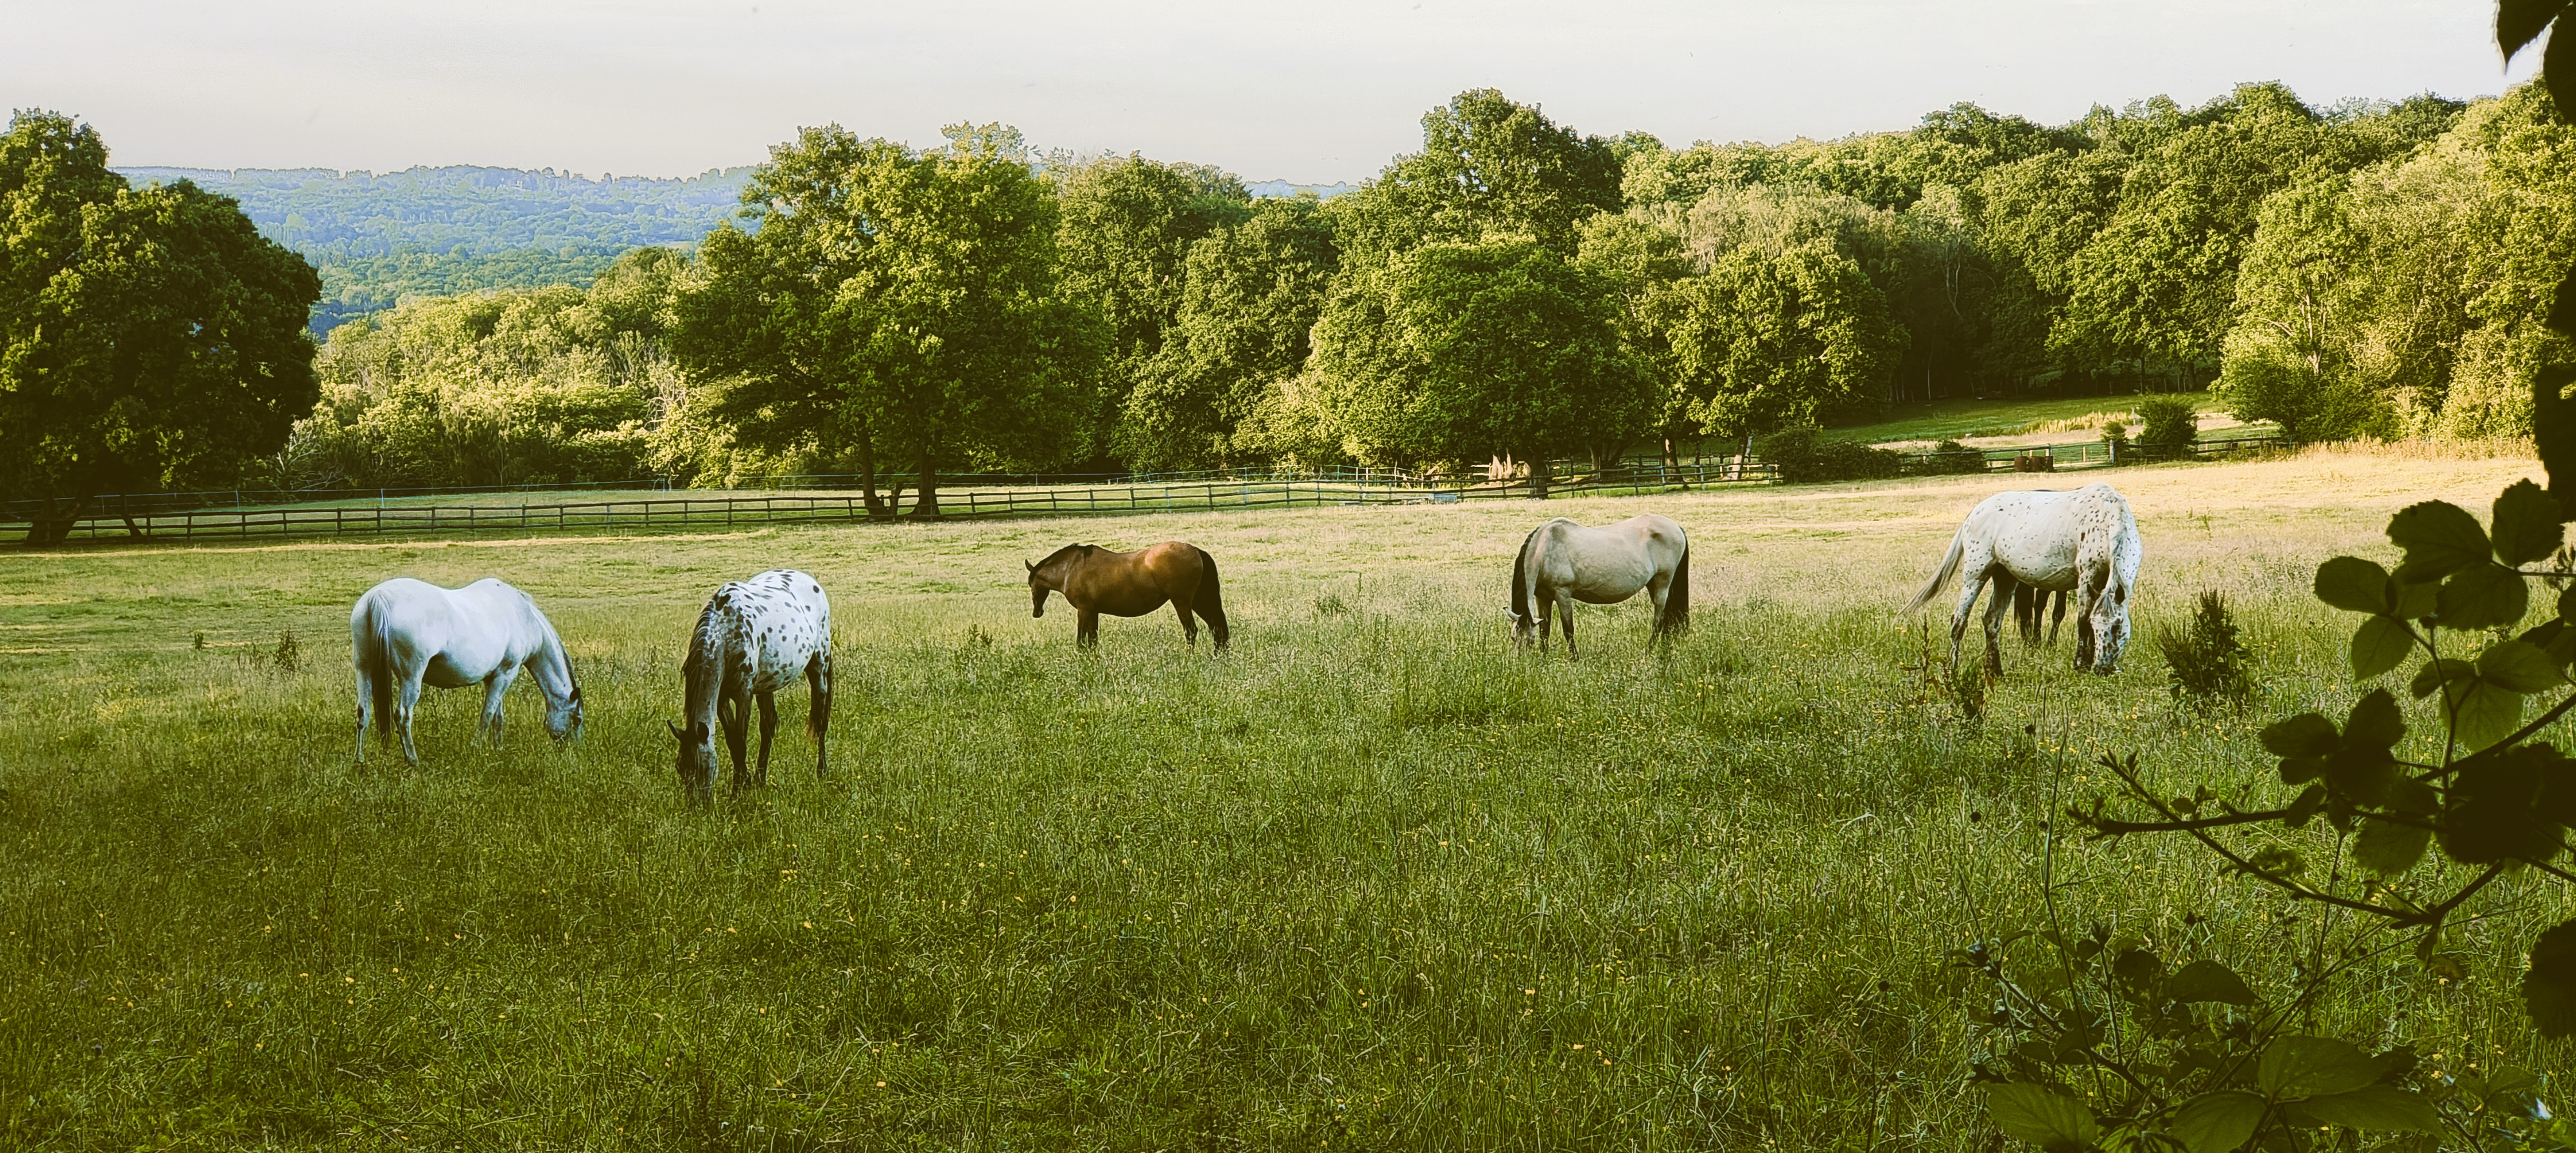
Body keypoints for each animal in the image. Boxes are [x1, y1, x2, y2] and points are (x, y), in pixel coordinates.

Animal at [350, 577, 582, 765]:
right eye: (577, 719)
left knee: (363, 713)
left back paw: (360, 760)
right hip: (411, 677)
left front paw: (498, 749)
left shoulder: (494, 677)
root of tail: (379, 597)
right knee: (403, 716)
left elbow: (497, 716)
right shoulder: (506, 674)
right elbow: (487, 715)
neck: (525, 617)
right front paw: (477, 749)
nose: (573, 751)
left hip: (364, 669)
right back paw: (413, 760)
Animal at [667, 570, 834, 803]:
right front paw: (745, 782)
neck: (726, 632)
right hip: (767, 685)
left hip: (819, 665)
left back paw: (821, 771)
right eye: (680, 768)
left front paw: (737, 793)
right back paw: (760, 779)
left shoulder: (743, 694)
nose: (697, 807)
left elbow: (740, 744)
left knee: (821, 721)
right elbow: (732, 741)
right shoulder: (722, 697)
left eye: (702, 768)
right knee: (769, 725)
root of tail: (811, 581)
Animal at [1025, 542, 1229, 650]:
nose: (1037, 612)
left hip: (1182, 603)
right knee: (1216, 627)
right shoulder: (1093, 612)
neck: (1071, 568)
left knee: (1192, 631)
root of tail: (1196, 551)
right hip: (1199, 601)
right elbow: (1093, 639)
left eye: (1031, 584)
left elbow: (1081, 641)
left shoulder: (1083, 610)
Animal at [1506, 514, 1691, 658]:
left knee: (1658, 620)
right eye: (1513, 638)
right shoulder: (1543, 598)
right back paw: (1664, 648)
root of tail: (1676, 527)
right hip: (1654, 584)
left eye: (1530, 641)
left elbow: (1568, 629)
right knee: (1667, 616)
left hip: (1663, 582)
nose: (1521, 664)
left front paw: (1575, 659)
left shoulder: (1563, 594)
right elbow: (1545, 630)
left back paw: (1649, 652)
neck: (1545, 548)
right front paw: (1544, 659)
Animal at [1903, 482, 2142, 676]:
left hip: (2005, 579)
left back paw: (1996, 671)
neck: (2107, 519)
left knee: (1991, 621)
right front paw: (2081, 664)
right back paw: (1953, 671)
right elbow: (2082, 621)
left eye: (2118, 626)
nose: (2103, 669)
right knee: (1959, 621)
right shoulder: (2087, 579)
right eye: (2100, 627)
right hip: (1976, 575)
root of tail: (1975, 512)